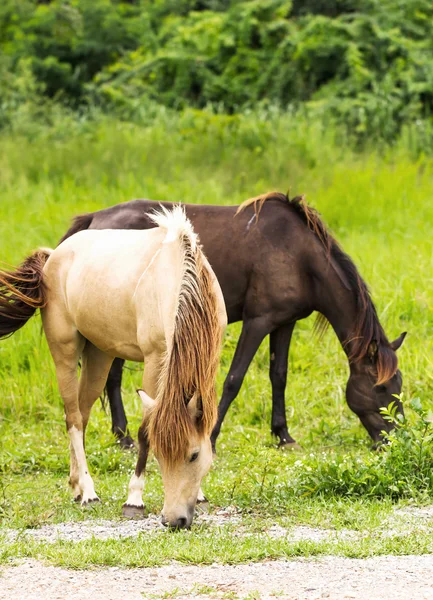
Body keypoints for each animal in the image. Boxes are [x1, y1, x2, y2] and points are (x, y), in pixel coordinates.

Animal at [0, 209, 228, 528]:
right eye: (160, 456)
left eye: (194, 455)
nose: (174, 520)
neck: (175, 277)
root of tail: (54, 255)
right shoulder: (155, 358)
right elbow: (145, 431)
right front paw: (134, 500)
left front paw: (202, 496)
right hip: (65, 353)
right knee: (73, 419)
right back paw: (89, 492)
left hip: (99, 356)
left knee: (82, 413)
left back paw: (76, 487)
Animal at [58, 195, 404, 448]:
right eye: (382, 387)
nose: (395, 438)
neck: (301, 257)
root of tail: (94, 219)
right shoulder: (258, 321)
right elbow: (234, 379)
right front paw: (210, 436)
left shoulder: (285, 323)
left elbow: (279, 376)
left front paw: (282, 434)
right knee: (113, 377)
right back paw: (124, 437)